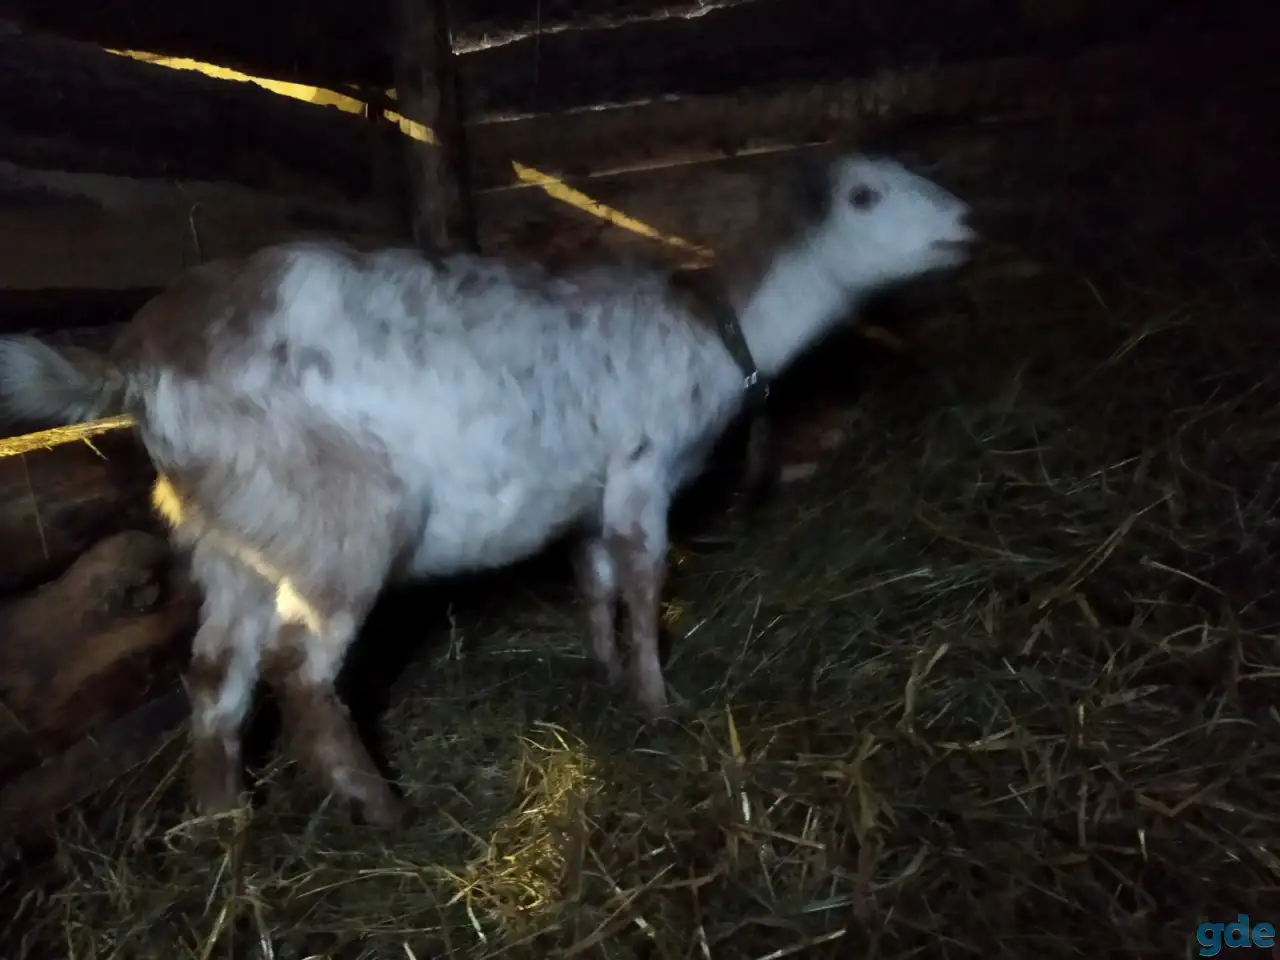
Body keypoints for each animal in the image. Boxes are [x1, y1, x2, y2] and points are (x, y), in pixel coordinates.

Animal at [0, 152, 977, 828]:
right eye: (864, 196)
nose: (967, 222)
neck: (715, 329)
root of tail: (140, 358)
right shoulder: (640, 469)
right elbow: (645, 583)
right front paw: (657, 703)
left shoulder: (588, 496)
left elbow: (594, 583)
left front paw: (603, 672)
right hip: (340, 518)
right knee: (298, 666)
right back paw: (383, 809)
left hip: (230, 532)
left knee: (214, 673)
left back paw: (223, 825)